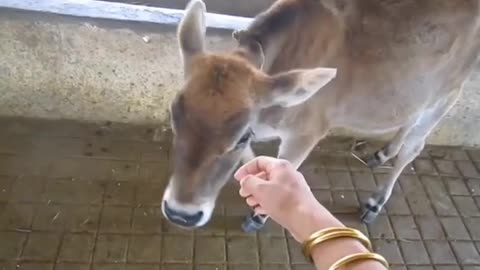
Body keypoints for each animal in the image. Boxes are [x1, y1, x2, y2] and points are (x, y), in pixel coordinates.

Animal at [162, 0, 480, 228]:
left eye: (240, 136)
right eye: (175, 118)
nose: (181, 214)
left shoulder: (307, 132)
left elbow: (286, 168)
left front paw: (259, 214)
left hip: (447, 93)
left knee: (414, 147)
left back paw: (375, 202)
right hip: (417, 90)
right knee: (408, 118)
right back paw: (383, 152)